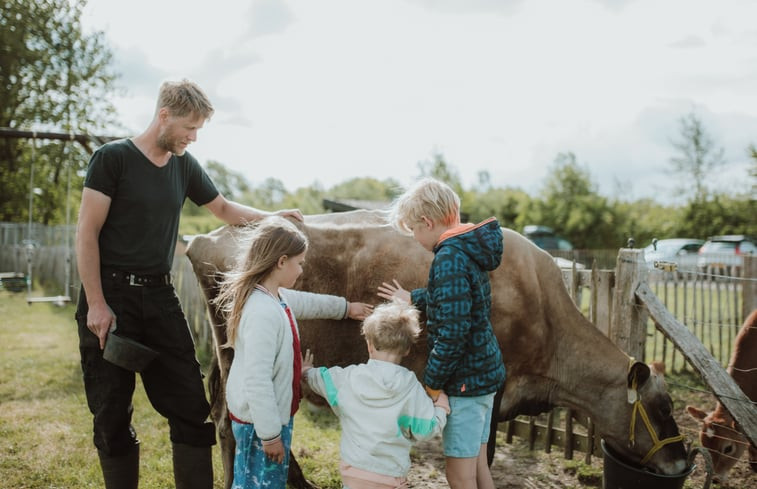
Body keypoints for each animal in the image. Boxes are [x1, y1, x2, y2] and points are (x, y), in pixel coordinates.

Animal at [186, 210, 688, 488]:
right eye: (662, 407)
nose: (682, 460)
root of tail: (208, 237)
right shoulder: (490, 391)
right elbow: (481, 455)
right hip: (240, 356)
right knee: (234, 427)